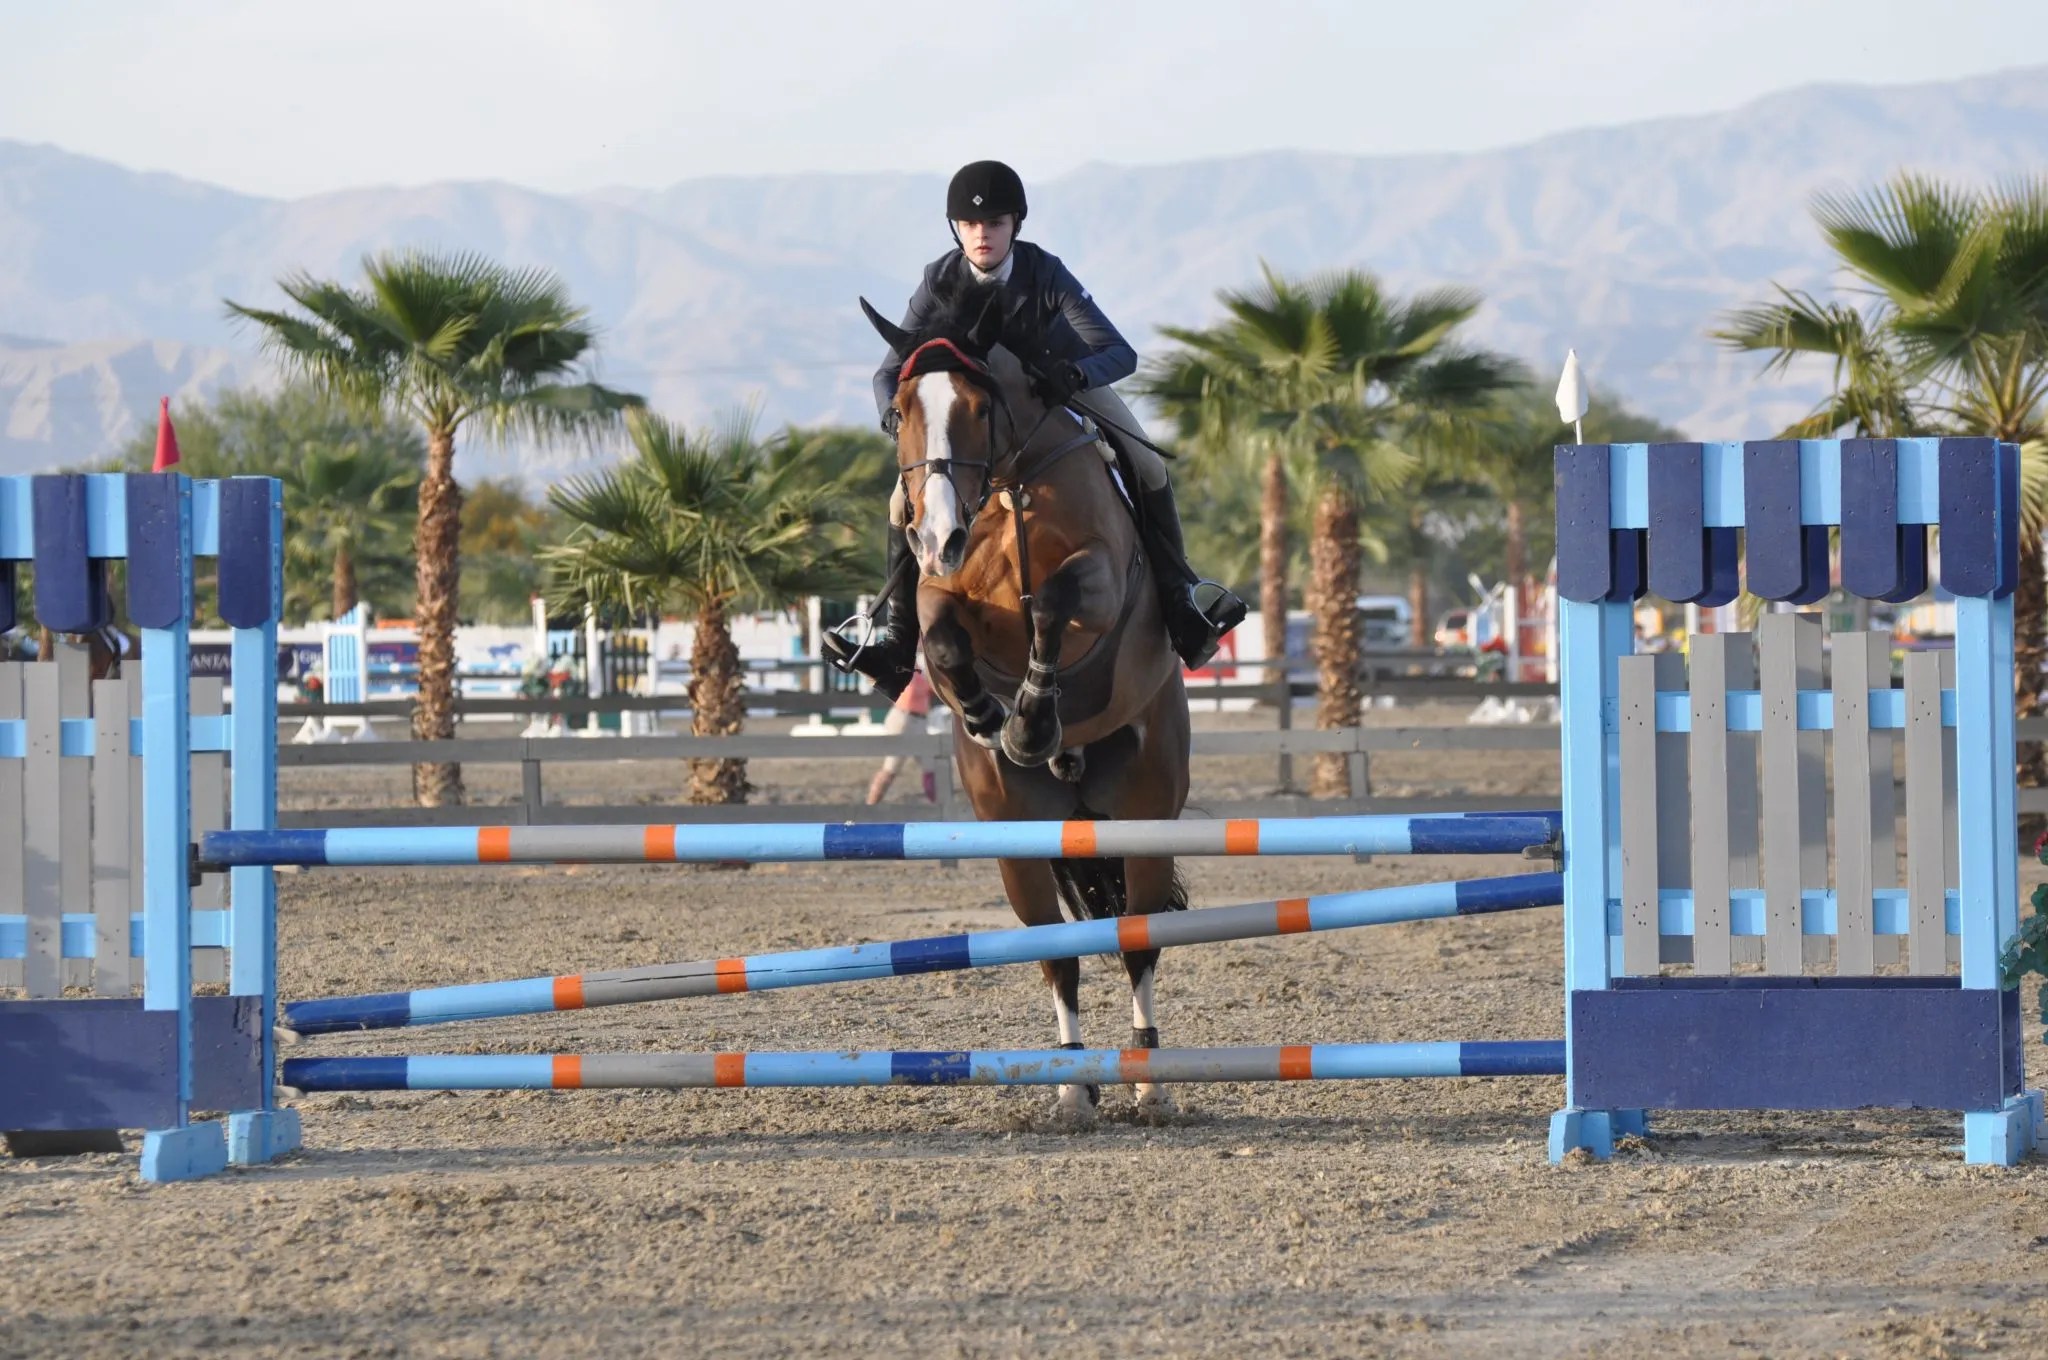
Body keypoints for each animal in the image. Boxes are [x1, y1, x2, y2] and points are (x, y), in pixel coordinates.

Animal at [860, 286, 1192, 1125]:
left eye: (981, 407)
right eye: (901, 409)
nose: (938, 532)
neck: (1009, 485)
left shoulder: (1100, 577)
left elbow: (1055, 601)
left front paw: (1032, 718)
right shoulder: (942, 592)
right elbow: (942, 635)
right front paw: (988, 717)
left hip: (1145, 812)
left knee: (1137, 941)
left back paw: (1148, 1079)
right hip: (1020, 839)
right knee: (1056, 956)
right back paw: (1074, 1086)